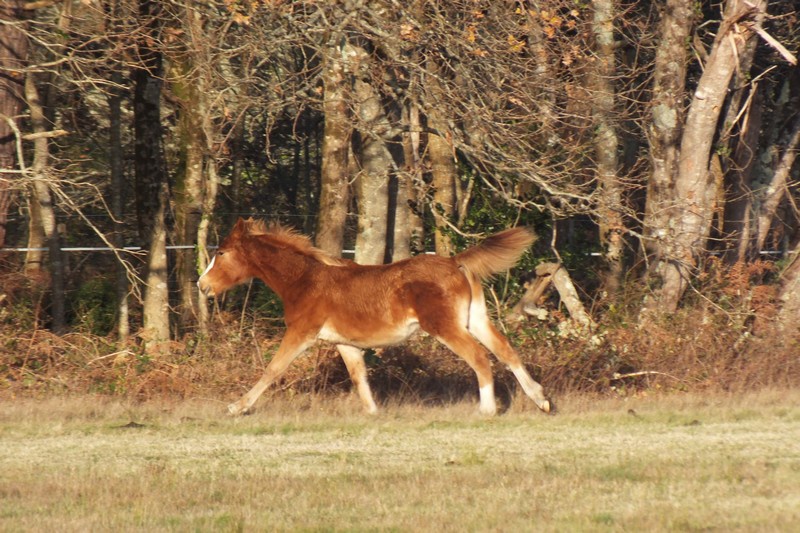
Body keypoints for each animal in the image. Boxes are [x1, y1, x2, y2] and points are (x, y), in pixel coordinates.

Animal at [198, 217, 552, 416]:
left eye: (221, 253)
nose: (202, 285)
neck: (305, 280)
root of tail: (455, 262)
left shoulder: (301, 333)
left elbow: (272, 369)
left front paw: (237, 407)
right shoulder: (345, 343)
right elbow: (359, 377)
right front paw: (373, 413)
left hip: (445, 326)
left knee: (479, 357)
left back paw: (487, 409)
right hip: (475, 320)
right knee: (506, 351)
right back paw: (542, 400)